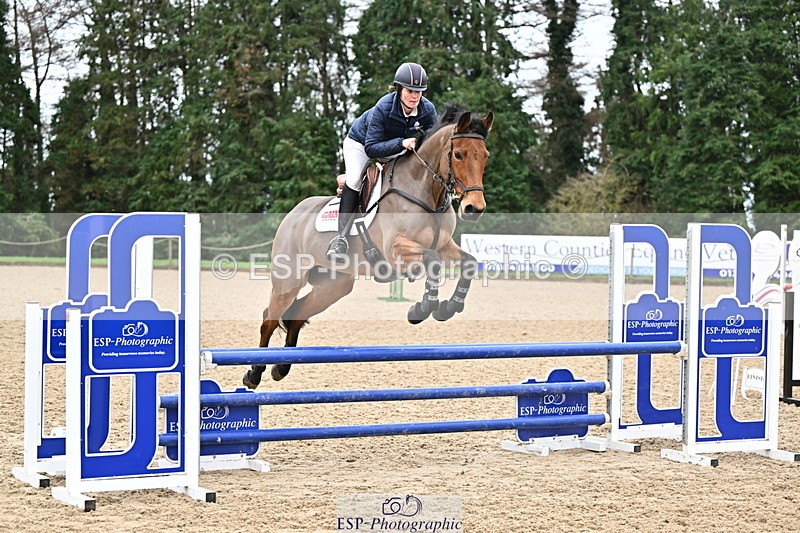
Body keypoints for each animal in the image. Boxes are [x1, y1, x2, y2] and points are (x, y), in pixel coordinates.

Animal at [243, 104, 494, 389]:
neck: (425, 191)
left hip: (334, 285)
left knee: (295, 314)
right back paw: (254, 373)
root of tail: (293, 214)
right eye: (459, 155)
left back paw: (281, 367)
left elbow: (468, 263)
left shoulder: (444, 246)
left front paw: (448, 308)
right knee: (270, 318)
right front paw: (421, 309)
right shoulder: (396, 251)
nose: (474, 208)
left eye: (485, 156)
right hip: (289, 280)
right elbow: (432, 260)